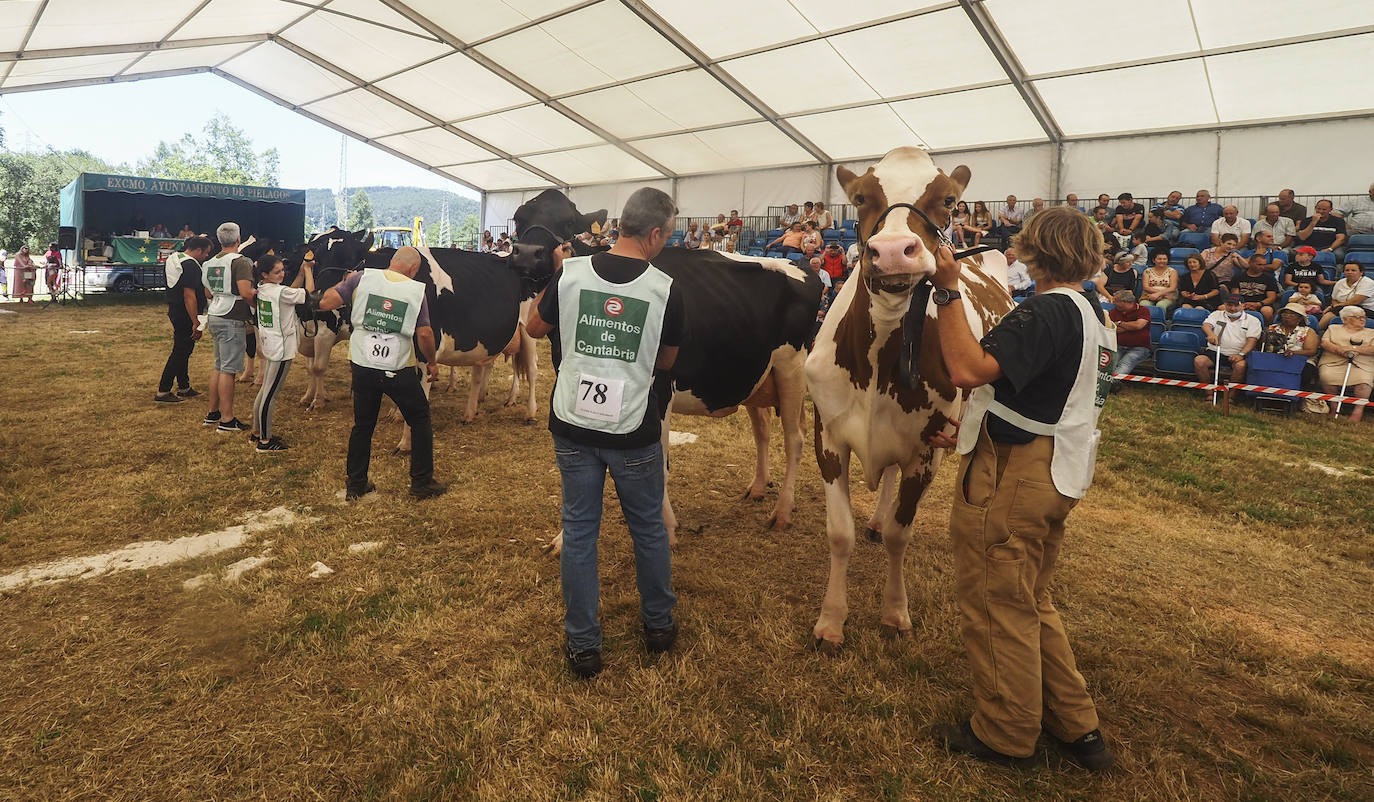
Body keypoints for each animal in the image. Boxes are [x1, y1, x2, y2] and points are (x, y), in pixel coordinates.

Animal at [802, 145, 1011, 645]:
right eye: (860, 198)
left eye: (950, 200)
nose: (895, 250)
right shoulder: (828, 438)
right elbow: (840, 533)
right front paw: (830, 621)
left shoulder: (926, 449)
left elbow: (902, 533)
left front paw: (895, 613)